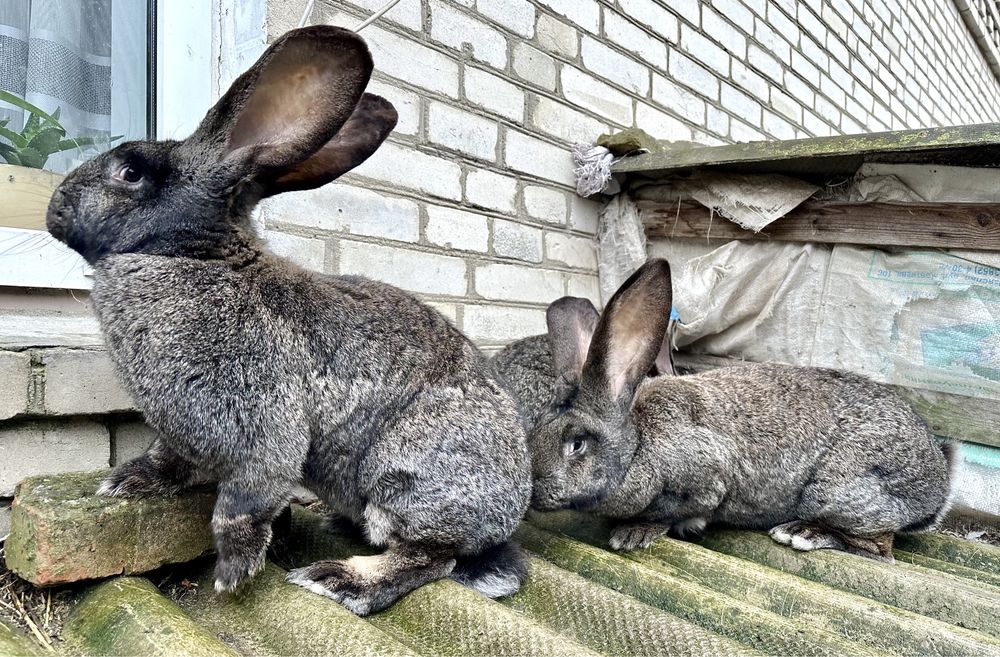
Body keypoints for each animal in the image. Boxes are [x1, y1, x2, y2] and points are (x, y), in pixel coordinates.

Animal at [47, 24, 532, 608]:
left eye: (130, 172)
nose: (52, 209)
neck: (199, 255)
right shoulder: (181, 429)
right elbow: (170, 458)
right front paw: (126, 482)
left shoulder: (261, 426)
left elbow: (244, 500)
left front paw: (233, 573)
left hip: (407, 474)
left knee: (430, 557)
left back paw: (341, 579)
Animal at [532, 258, 952, 560]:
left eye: (577, 445)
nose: (533, 491)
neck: (638, 442)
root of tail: (938, 481)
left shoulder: (706, 475)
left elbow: (679, 511)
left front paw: (635, 534)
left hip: (839, 491)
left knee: (880, 547)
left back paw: (801, 533)